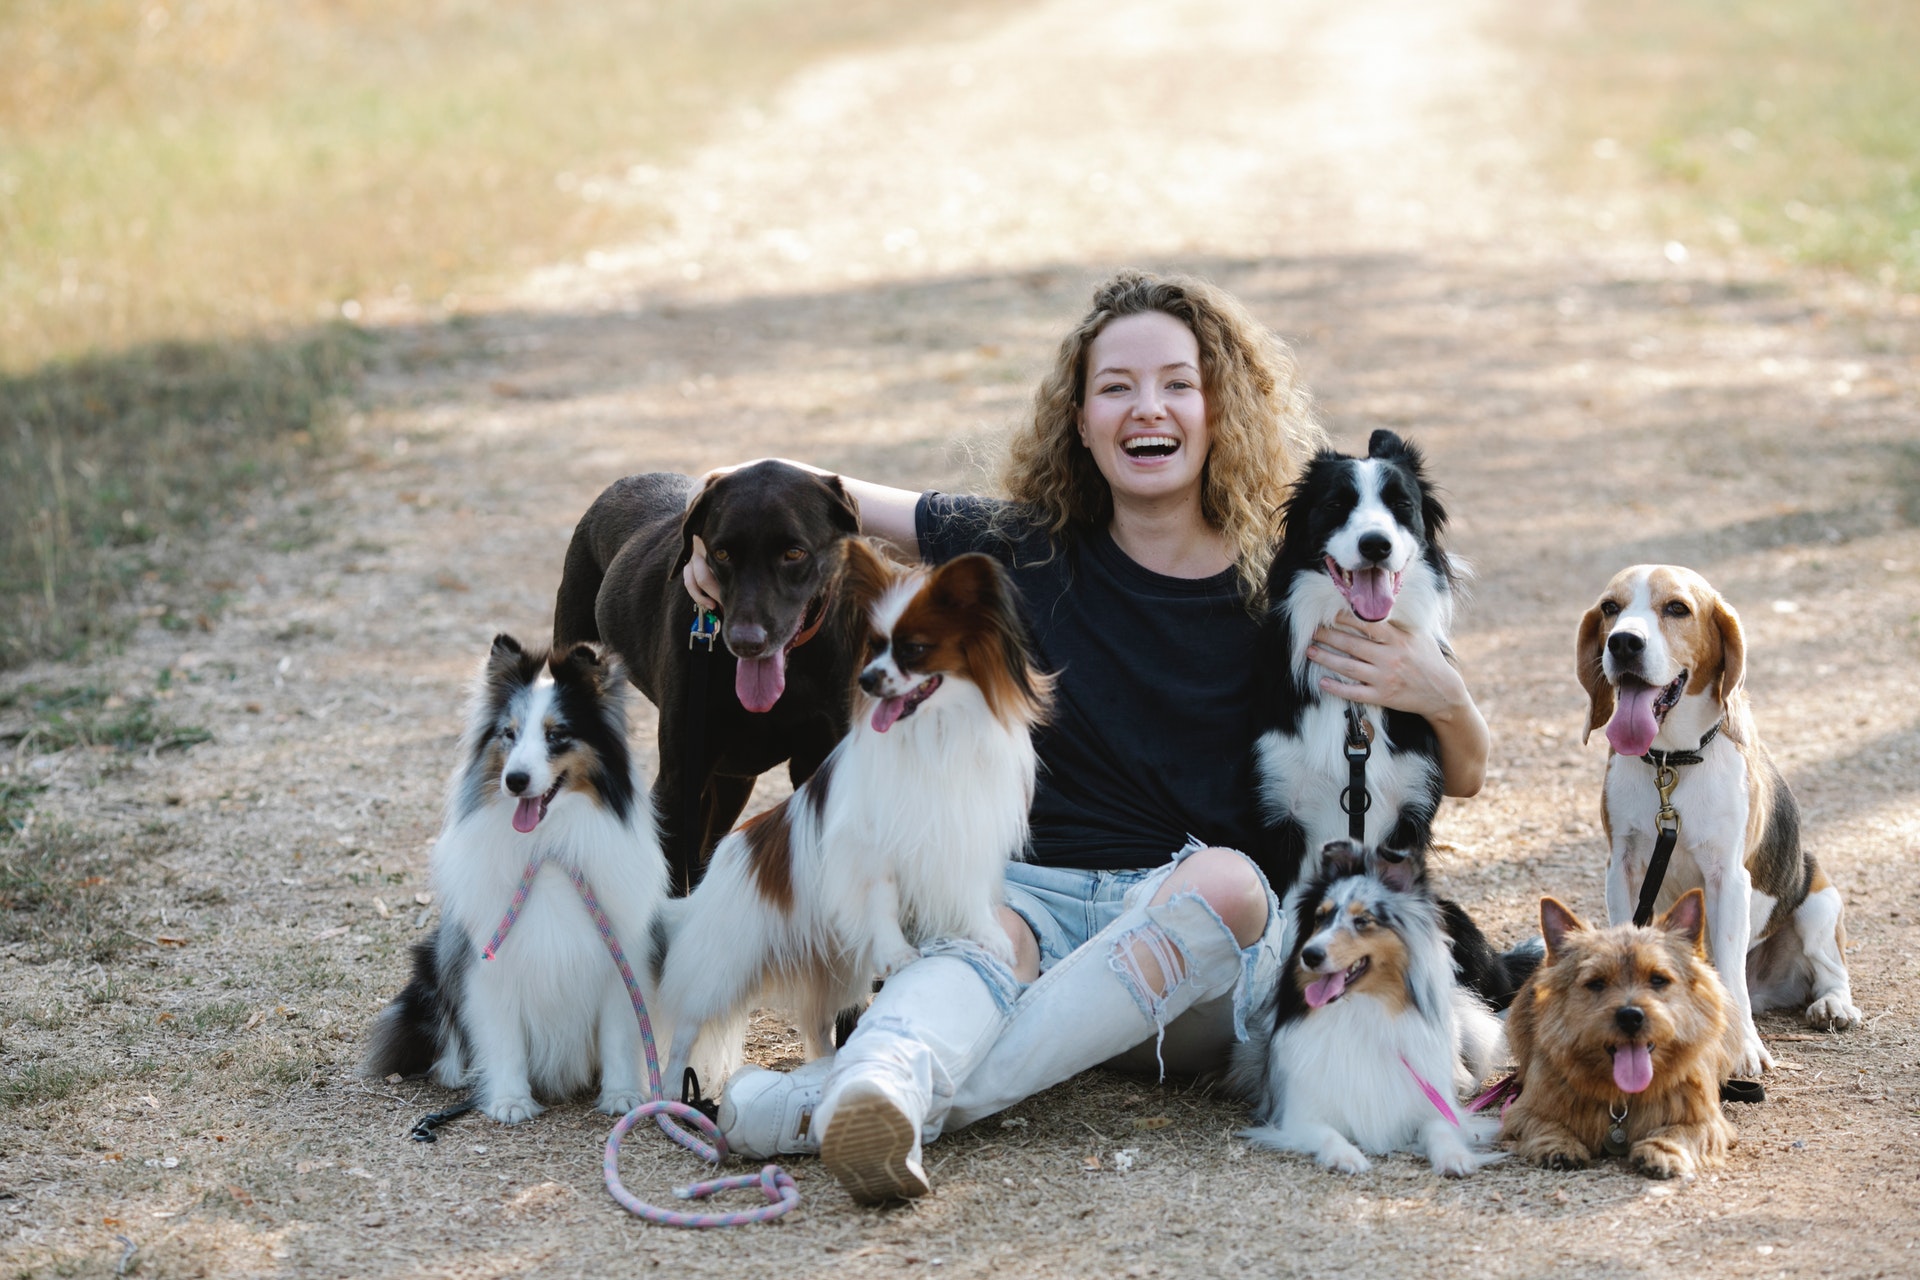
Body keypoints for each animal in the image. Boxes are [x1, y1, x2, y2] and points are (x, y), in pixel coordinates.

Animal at [362, 637, 672, 1128]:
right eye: (508, 734)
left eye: (556, 735)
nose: (515, 781)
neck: (546, 849)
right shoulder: (489, 964)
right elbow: (503, 1037)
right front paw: (510, 1101)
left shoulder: (620, 961)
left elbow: (620, 1036)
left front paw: (622, 1096)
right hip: (432, 964)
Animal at [656, 545, 1052, 1097]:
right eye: (874, 647)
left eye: (914, 649)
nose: (866, 681)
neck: (934, 733)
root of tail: (728, 855)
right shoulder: (871, 850)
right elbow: (882, 901)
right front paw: (898, 954)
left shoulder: (963, 834)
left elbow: (970, 894)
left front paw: (988, 936)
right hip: (724, 964)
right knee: (687, 1027)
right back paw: (673, 1089)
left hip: (836, 973)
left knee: (819, 1028)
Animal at [1228, 840, 1512, 1182]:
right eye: (1320, 918)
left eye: (1362, 921)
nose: (1310, 955)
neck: (1361, 1010)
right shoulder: (1300, 1115)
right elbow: (1328, 1134)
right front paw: (1347, 1156)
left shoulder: (1430, 1107)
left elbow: (1441, 1129)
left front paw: (1456, 1157)